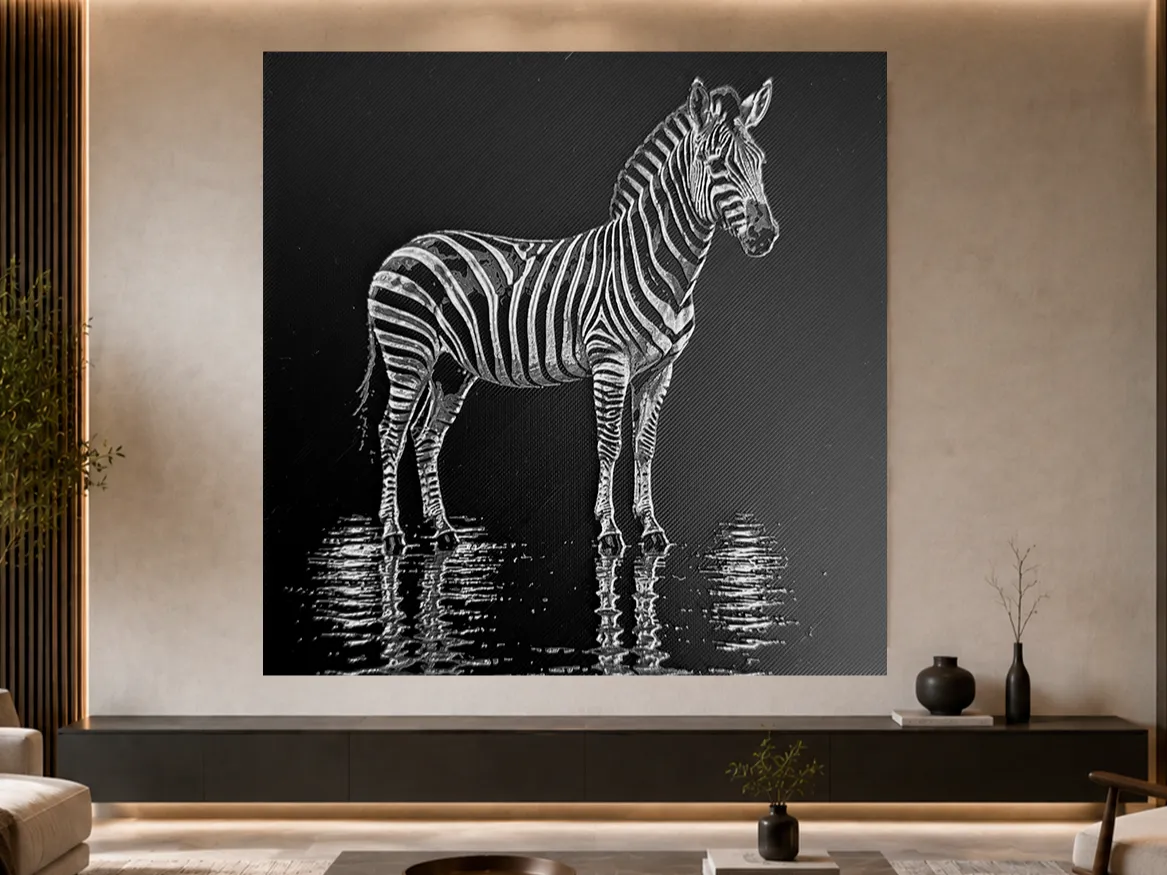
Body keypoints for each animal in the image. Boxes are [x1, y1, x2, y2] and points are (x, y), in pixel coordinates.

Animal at [357, 76, 777, 557]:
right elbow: (610, 445)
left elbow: (645, 446)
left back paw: (442, 530)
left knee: (426, 438)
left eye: (760, 163)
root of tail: (400, 252)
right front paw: (609, 531)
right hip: (408, 351)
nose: (765, 235)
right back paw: (392, 534)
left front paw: (651, 529)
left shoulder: (659, 369)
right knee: (391, 434)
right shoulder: (609, 359)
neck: (657, 263)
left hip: (450, 366)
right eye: (717, 163)